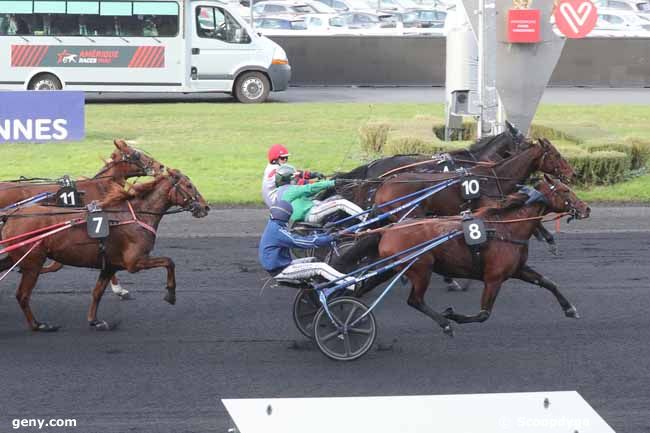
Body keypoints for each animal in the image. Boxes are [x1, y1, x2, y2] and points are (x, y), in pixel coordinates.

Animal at [0, 169, 208, 330]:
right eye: (189, 186)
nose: (205, 207)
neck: (135, 216)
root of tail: (12, 215)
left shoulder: (110, 265)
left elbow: (97, 292)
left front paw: (95, 320)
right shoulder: (134, 262)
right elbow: (169, 262)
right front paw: (170, 295)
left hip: (16, 257)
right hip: (32, 262)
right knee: (22, 295)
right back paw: (38, 325)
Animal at [372, 174, 588, 336]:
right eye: (565, 190)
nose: (586, 208)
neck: (507, 228)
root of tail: (389, 230)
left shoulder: (518, 269)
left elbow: (548, 282)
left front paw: (570, 309)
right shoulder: (494, 278)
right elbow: (484, 314)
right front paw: (453, 315)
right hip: (421, 269)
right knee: (415, 300)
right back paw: (445, 323)